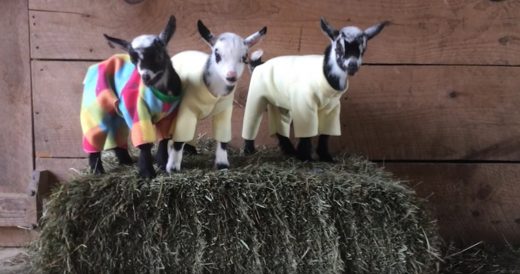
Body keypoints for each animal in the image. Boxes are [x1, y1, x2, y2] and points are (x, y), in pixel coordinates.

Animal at [79, 15, 181, 178]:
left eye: (159, 56)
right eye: (133, 61)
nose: (145, 77)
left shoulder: (169, 115)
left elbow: (164, 139)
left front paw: (162, 162)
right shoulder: (138, 111)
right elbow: (144, 144)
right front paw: (147, 172)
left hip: (117, 111)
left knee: (117, 133)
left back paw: (126, 161)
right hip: (95, 105)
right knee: (94, 135)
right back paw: (97, 170)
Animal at [166, 20, 266, 173]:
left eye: (244, 58)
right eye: (217, 55)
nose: (231, 76)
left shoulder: (224, 111)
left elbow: (223, 139)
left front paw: (222, 164)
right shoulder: (187, 109)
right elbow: (179, 140)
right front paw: (173, 167)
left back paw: (191, 150)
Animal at [241, 17, 386, 162]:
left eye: (363, 50)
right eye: (338, 48)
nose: (352, 65)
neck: (325, 76)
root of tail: (259, 65)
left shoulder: (331, 109)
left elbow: (326, 133)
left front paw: (326, 157)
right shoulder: (305, 105)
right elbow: (307, 130)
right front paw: (305, 157)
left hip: (281, 103)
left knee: (279, 125)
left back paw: (290, 151)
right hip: (256, 95)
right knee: (251, 120)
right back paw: (249, 150)